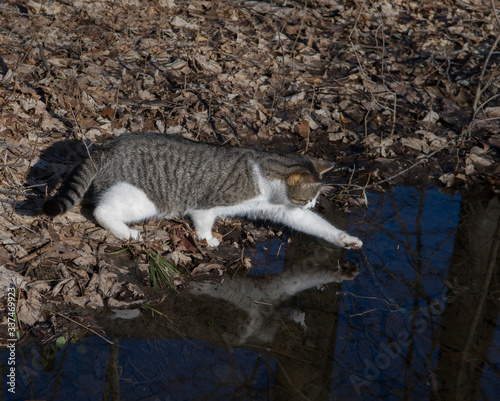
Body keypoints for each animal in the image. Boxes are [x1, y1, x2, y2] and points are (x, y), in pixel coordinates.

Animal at [43, 133, 364, 248]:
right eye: (311, 197)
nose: (312, 205)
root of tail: (105, 147)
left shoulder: (283, 209)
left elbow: (315, 225)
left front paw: (345, 239)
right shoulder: (206, 205)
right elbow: (204, 221)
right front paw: (208, 239)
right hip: (146, 199)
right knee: (101, 211)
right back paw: (126, 232)